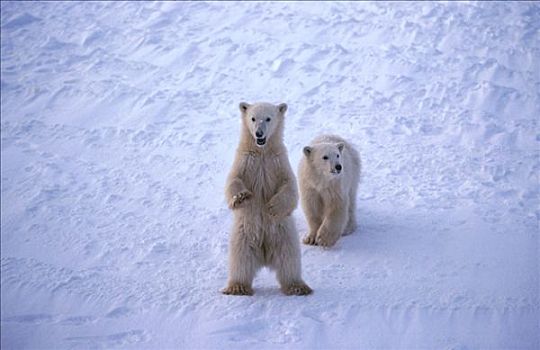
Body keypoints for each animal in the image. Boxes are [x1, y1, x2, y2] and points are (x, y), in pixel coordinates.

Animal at [220, 100, 312, 296]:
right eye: (253, 118)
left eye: (268, 118)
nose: (259, 133)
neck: (262, 150)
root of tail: (264, 255)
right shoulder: (245, 161)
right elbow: (233, 180)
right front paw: (241, 197)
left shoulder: (278, 162)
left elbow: (290, 186)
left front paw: (272, 207)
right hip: (243, 234)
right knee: (240, 260)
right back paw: (237, 287)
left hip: (284, 234)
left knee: (289, 260)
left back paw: (297, 286)